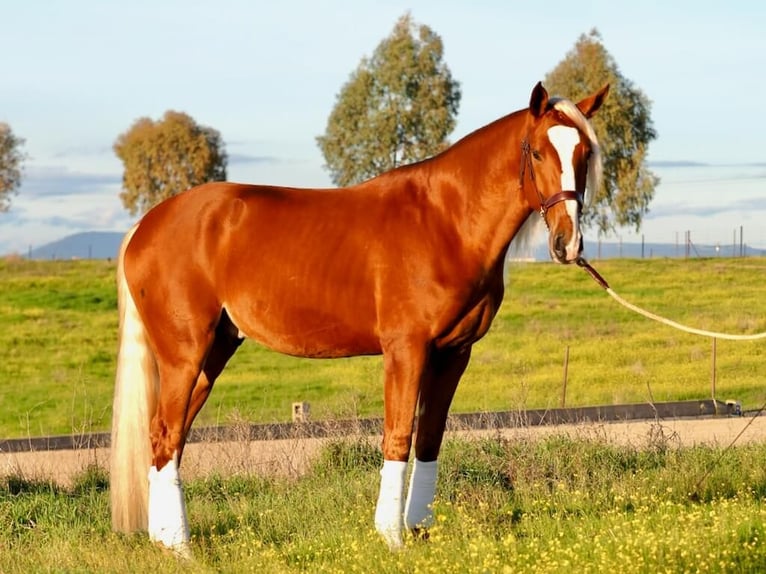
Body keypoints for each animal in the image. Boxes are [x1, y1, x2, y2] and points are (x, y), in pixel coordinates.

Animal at [109, 82, 612, 560]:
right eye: (539, 152)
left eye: (584, 154)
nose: (568, 243)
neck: (445, 222)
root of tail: (146, 225)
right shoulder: (406, 350)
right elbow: (398, 436)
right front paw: (391, 537)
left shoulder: (454, 354)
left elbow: (430, 437)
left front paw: (420, 530)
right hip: (185, 352)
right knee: (166, 432)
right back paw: (182, 548)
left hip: (215, 349)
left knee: (168, 437)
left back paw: (165, 540)